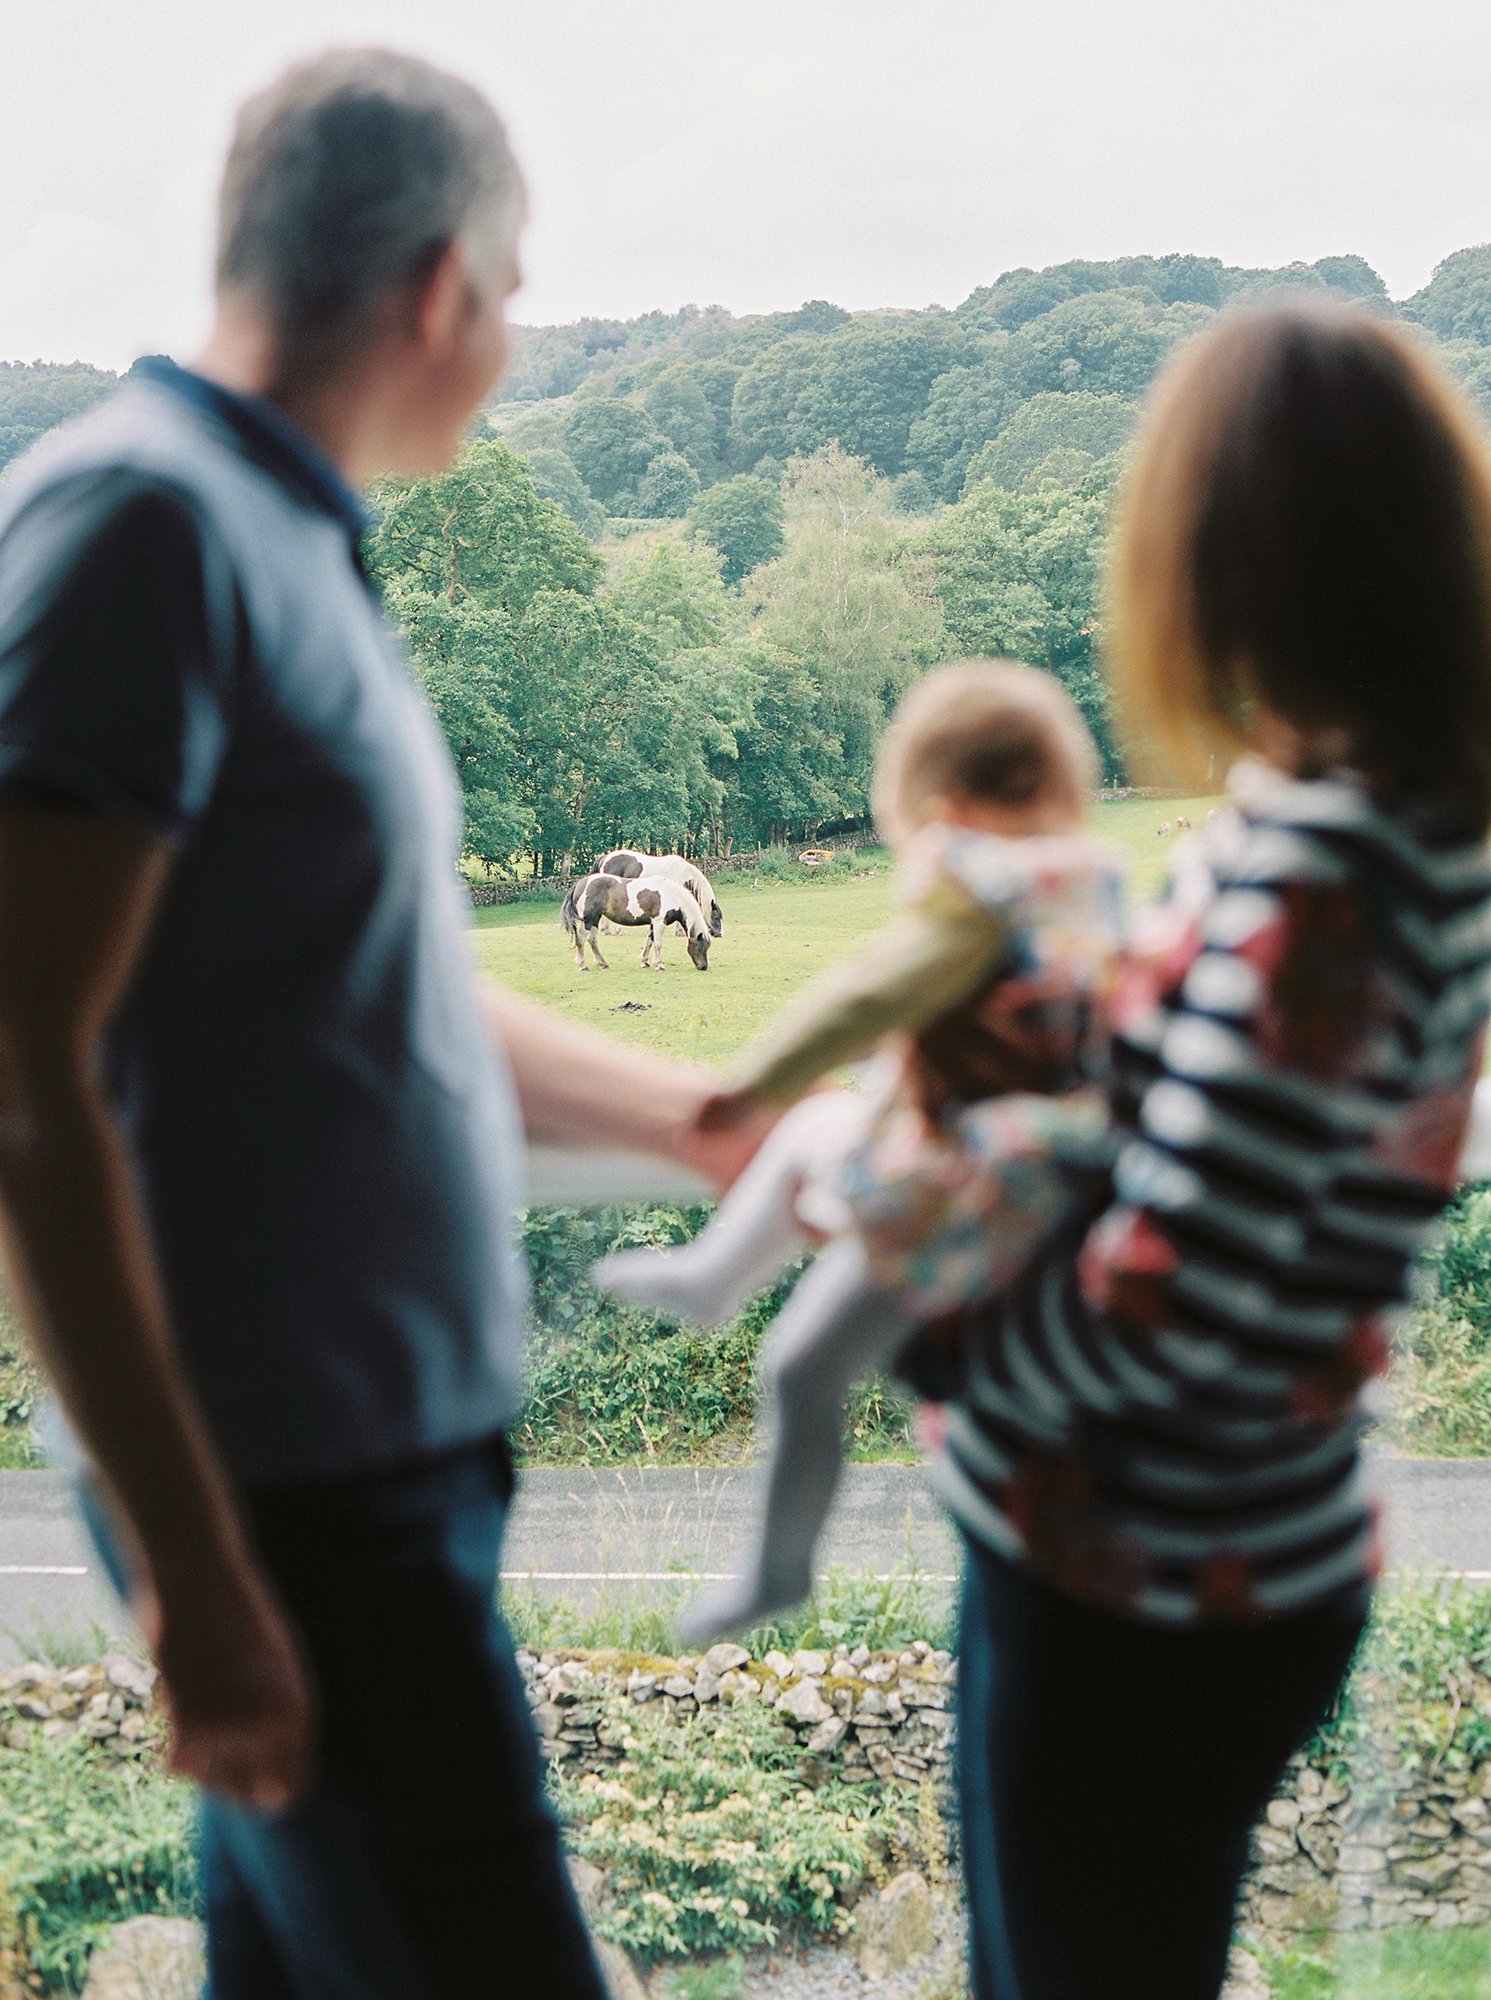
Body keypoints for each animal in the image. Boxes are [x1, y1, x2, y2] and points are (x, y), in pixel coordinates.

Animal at [563, 872, 715, 972]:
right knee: (581, 940)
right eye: (701, 948)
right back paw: (583, 965)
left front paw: (644, 962)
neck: (672, 895)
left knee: (592, 940)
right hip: (589, 920)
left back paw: (603, 963)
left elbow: (649, 942)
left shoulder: (653, 924)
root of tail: (580, 884)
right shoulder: (659, 922)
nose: (704, 967)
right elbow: (658, 944)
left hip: (595, 919)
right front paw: (659, 965)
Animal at [591, 844, 719, 936]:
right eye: (717, 917)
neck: (683, 872)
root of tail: (604, 858)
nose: (719, 933)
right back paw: (618, 931)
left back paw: (606, 930)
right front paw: (680, 932)